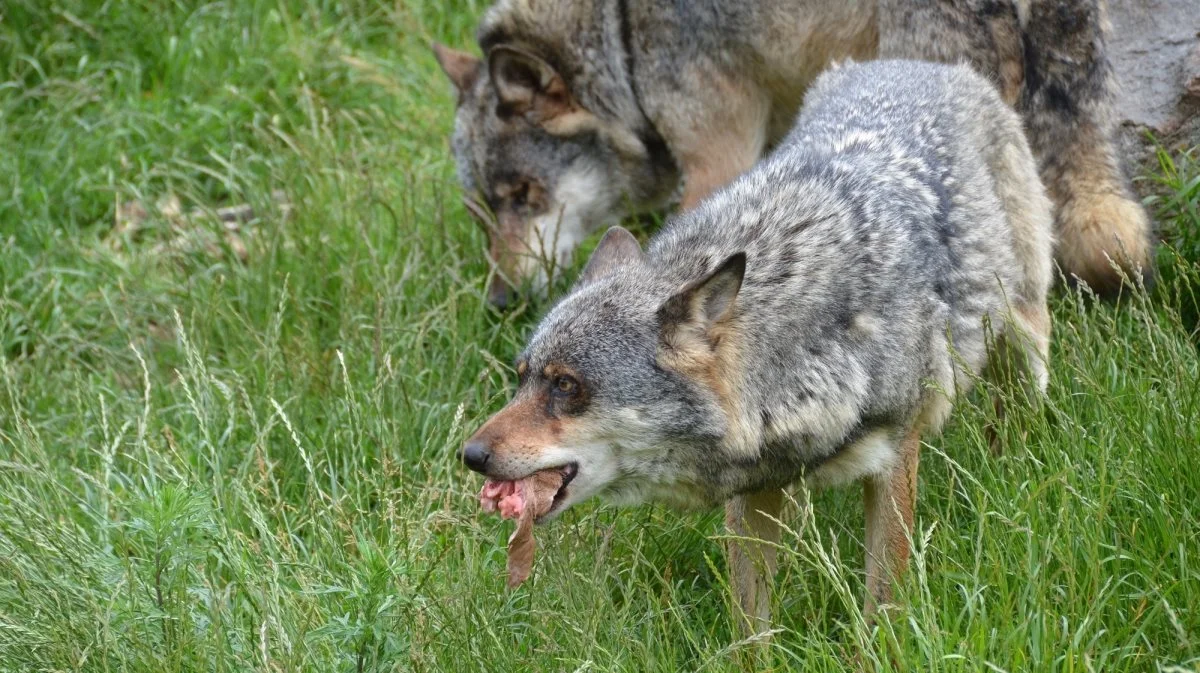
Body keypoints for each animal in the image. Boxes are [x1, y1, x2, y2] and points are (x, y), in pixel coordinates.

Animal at [458, 59, 1051, 633]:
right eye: (522, 377)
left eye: (566, 385)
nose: (470, 456)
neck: (804, 349)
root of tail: (922, 65)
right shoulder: (755, 494)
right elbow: (750, 628)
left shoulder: (896, 456)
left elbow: (880, 606)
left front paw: (877, 652)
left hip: (1022, 337)